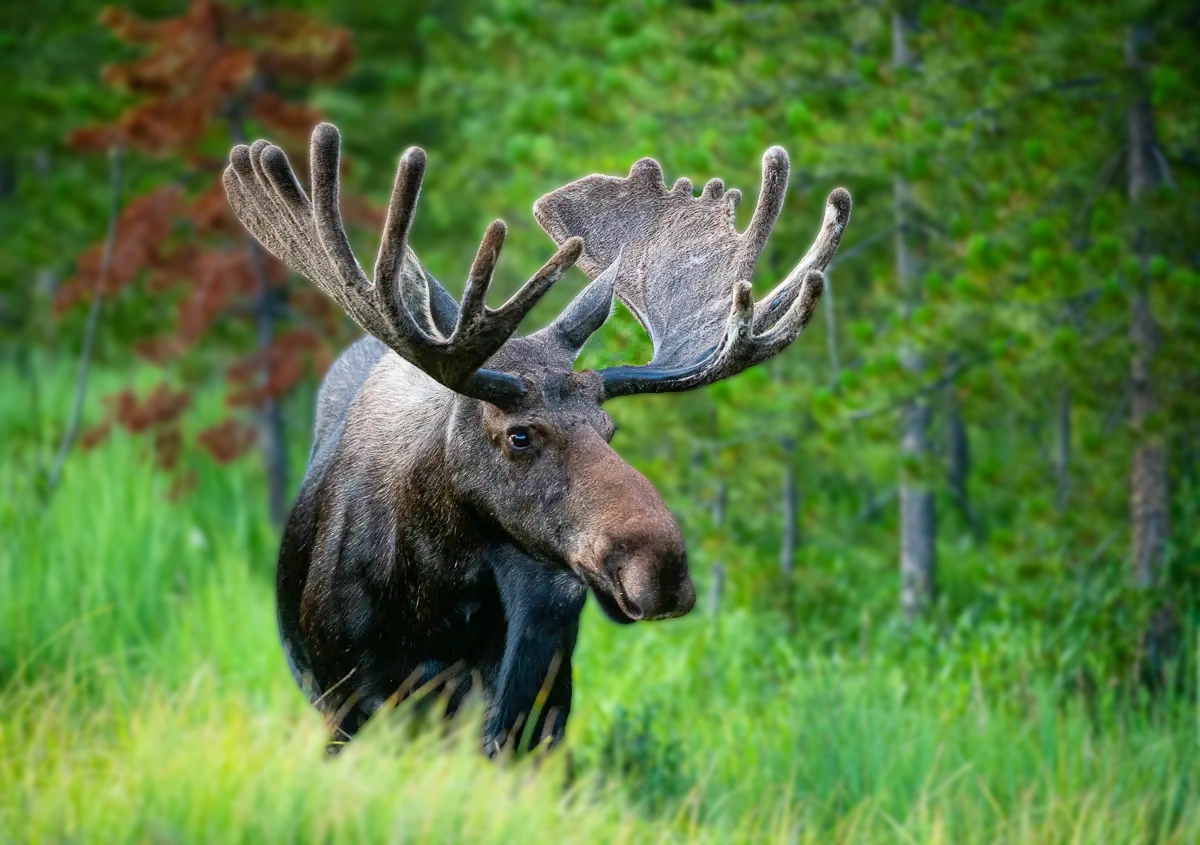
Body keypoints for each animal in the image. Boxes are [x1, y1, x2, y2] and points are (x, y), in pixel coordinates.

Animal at [220, 123, 849, 753]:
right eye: (519, 436)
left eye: (610, 428)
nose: (663, 569)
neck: (428, 595)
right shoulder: (344, 705)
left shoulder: (513, 711)